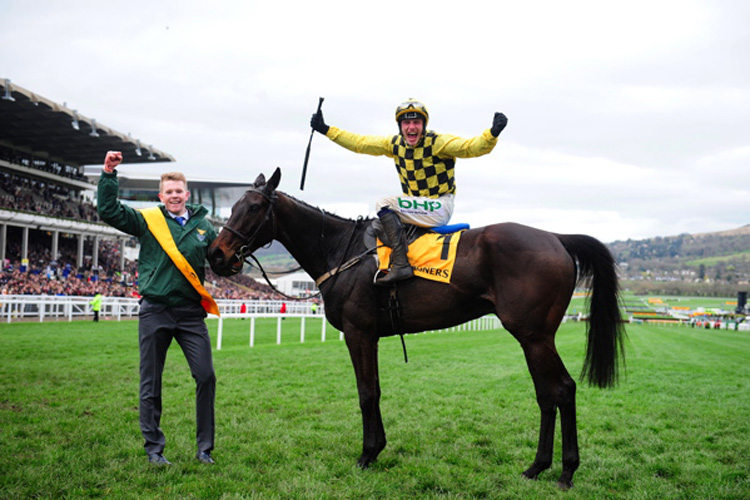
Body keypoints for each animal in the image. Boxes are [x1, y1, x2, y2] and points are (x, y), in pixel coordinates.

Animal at [209, 169, 624, 488]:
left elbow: (366, 393)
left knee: (562, 389)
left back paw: (566, 472)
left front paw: (367, 454)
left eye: (255, 208)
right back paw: (537, 467)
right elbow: (374, 390)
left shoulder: (359, 333)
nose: (216, 254)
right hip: (533, 338)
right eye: (233, 206)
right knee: (547, 394)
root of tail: (556, 238)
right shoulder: (370, 336)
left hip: (534, 335)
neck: (341, 250)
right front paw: (377, 449)